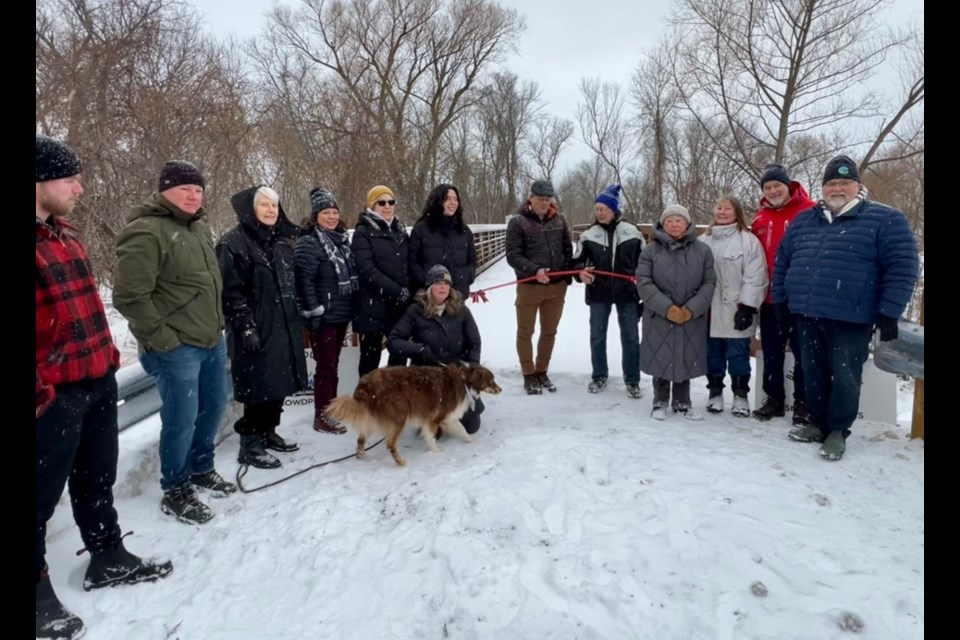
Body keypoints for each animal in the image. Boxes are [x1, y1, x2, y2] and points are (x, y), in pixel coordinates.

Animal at [326, 364, 502, 464]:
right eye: (492, 380)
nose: (501, 389)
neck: (465, 380)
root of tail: (366, 385)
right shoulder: (434, 418)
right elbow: (432, 437)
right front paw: (436, 451)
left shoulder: (446, 418)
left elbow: (462, 430)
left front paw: (471, 441)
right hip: (399, 418)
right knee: (390, 445)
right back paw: (400, 462)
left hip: (372, 419)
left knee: (360, 440)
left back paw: (363, 457)